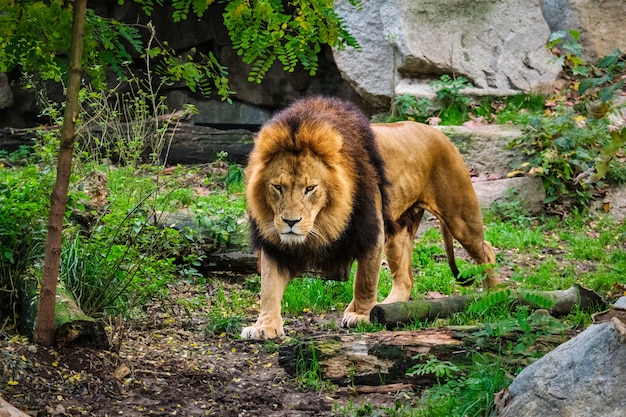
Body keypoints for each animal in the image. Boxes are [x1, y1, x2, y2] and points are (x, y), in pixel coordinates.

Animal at [239, 96, 498, 340]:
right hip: (399, 233)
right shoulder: (274, 242)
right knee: (405, 278)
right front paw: (264, 326)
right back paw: (391, 307)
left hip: (460, 216)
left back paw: (495, 294)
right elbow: (269, 287)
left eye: (310, 188)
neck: (325, 220)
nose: (290, 222)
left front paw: (360, 315)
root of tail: (439, 133)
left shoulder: (371, 231)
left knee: (486, 249)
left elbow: (365, 279)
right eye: (277, 187)